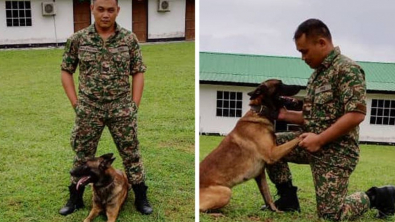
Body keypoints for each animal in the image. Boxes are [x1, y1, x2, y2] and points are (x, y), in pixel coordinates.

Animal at [201, 79, 304, 212]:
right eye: (280, 84)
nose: (299, 86)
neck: (261, 112)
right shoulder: (272, 153)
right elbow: (296, 138)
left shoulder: (260, 174)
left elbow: (268, 196)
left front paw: (275, 211)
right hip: (226, 191)